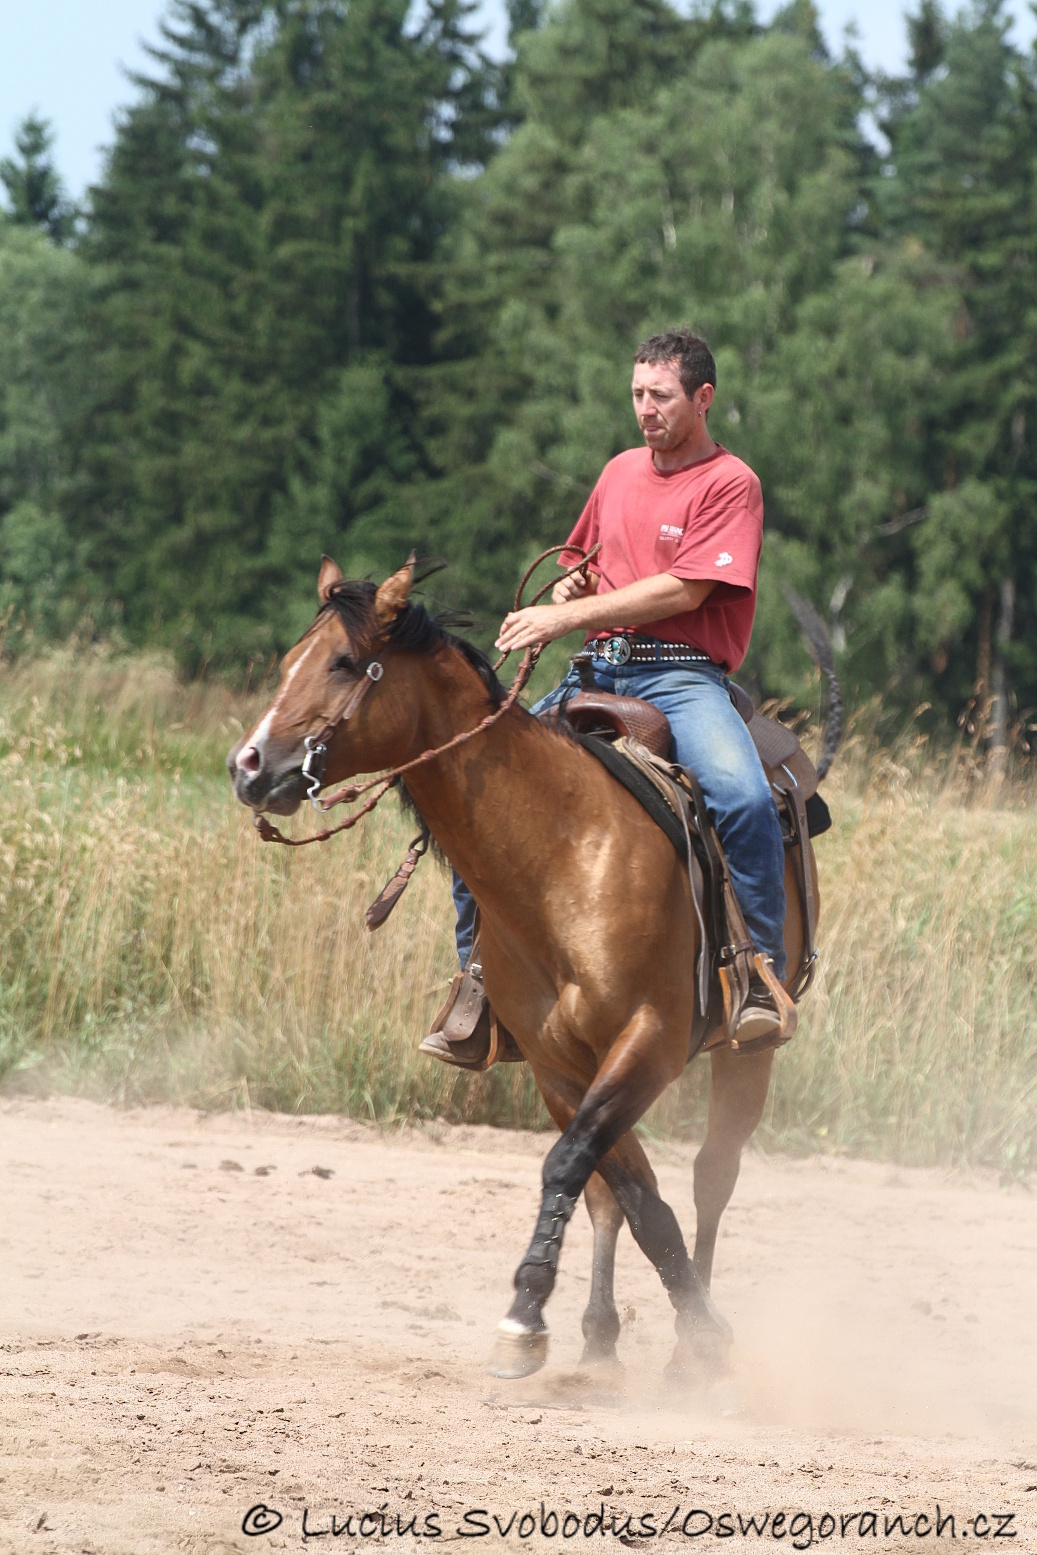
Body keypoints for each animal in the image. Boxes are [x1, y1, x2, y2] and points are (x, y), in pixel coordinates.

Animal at [228, 553, 827, 1393]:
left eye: (343, 662)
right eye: (290, 662)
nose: (248, 765)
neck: (563, 854)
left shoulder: (648, 1041)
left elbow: (577, 1167)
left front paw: (664, 1332)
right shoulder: (557, 1065)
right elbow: (627, 1194)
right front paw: (564, 1321)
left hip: (749, 1053)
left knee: (713, 1175)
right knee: (614, 1195)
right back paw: (601, 1337)